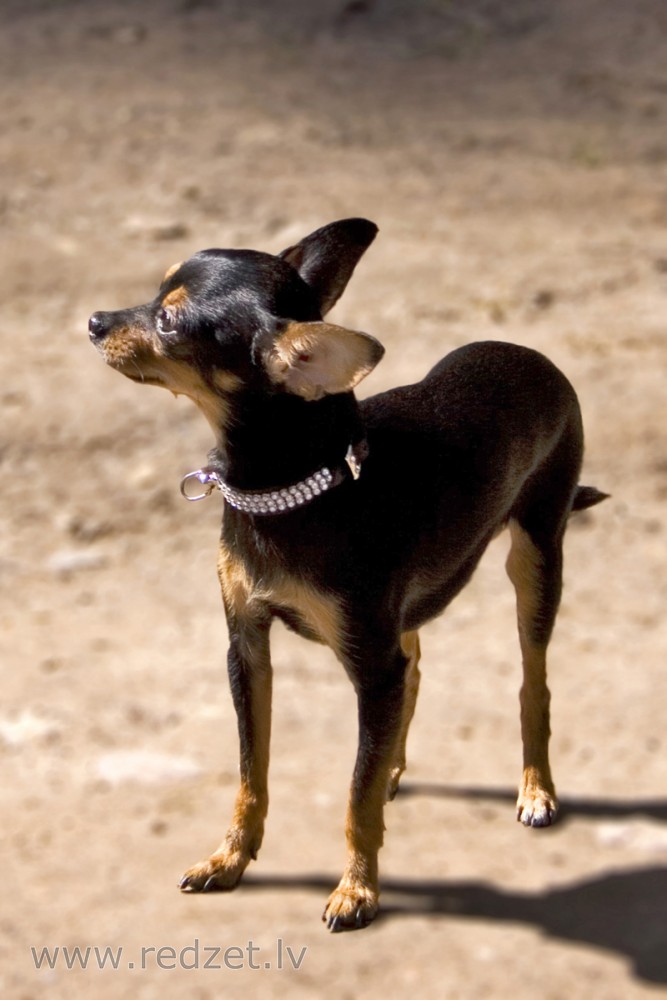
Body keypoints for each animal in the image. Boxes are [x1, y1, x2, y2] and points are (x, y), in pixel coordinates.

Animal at [87, 217, 604, 928]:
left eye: (168, 321)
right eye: (154, 292)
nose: (94, 321)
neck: (293, 490)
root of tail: (532, 356)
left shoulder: (367, 659)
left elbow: (353, 796)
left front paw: (358, 888)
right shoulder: (247, 649)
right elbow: (251, 772)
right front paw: (230, 858)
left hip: (535, 557)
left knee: (533, 681)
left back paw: (535, 789)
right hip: (404, 613)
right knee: (414, 669)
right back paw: (395, 767)